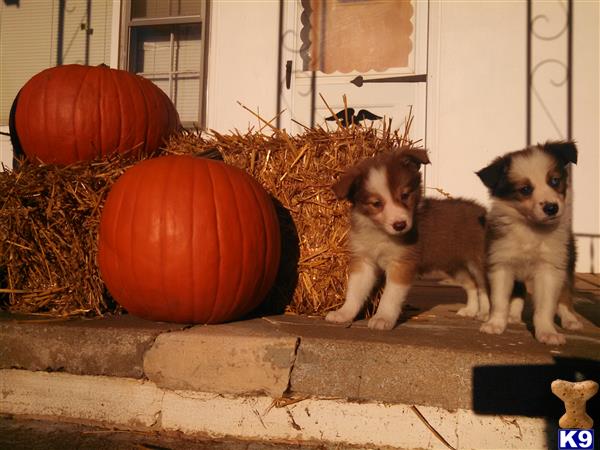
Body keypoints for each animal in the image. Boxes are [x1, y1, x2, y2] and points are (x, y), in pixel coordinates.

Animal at [326, 149, 490, 328]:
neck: (381, 233)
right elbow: (355, 291)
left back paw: (487, 314)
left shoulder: (401, 263)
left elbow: (390, 296)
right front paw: (344, 313)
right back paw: (471, 311)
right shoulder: (364, 260)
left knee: (486, 288)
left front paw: (383, 318)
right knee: (472, 285)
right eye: (376, 203)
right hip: (454, 265)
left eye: (404, 195)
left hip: (479, 262)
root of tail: (484, 211)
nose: (400, 225)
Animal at [476, 141, 584, 344]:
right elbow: (499, 300)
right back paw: (513, 316)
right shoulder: (501, 262)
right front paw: (495, 324)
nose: (551, 208)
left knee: (565, 295)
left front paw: (547, 332)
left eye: (554, 181)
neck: (531, 230)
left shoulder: (550, 268)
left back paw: (570, 319)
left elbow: (546, 306)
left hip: (568, 261)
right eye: (525, 189)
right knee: (519, 292)